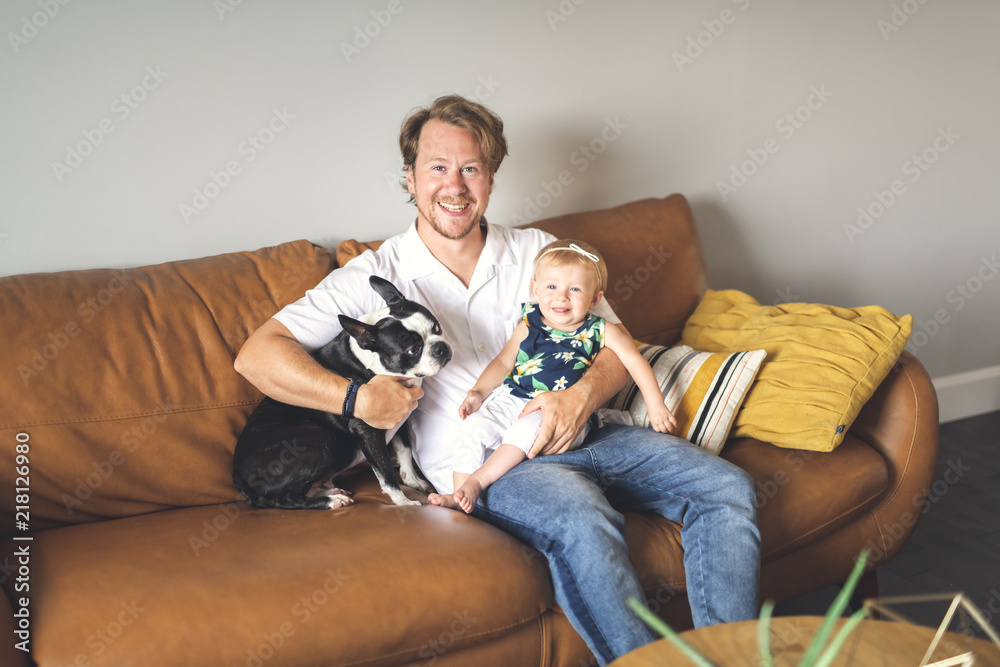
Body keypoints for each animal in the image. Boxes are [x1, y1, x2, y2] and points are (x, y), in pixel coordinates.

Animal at [232, 276, 452, 512]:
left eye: (437, 328)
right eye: (412, 350)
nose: (441, 348)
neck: (372, 362)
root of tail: (238, 476)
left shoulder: (400, 418)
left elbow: (404, 451)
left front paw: (413, 481)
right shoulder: (368, 430)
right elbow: (385, 472)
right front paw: (403, 502)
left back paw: (330, 492)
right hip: (322, 442)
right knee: (283, 499)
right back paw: (329, 501)